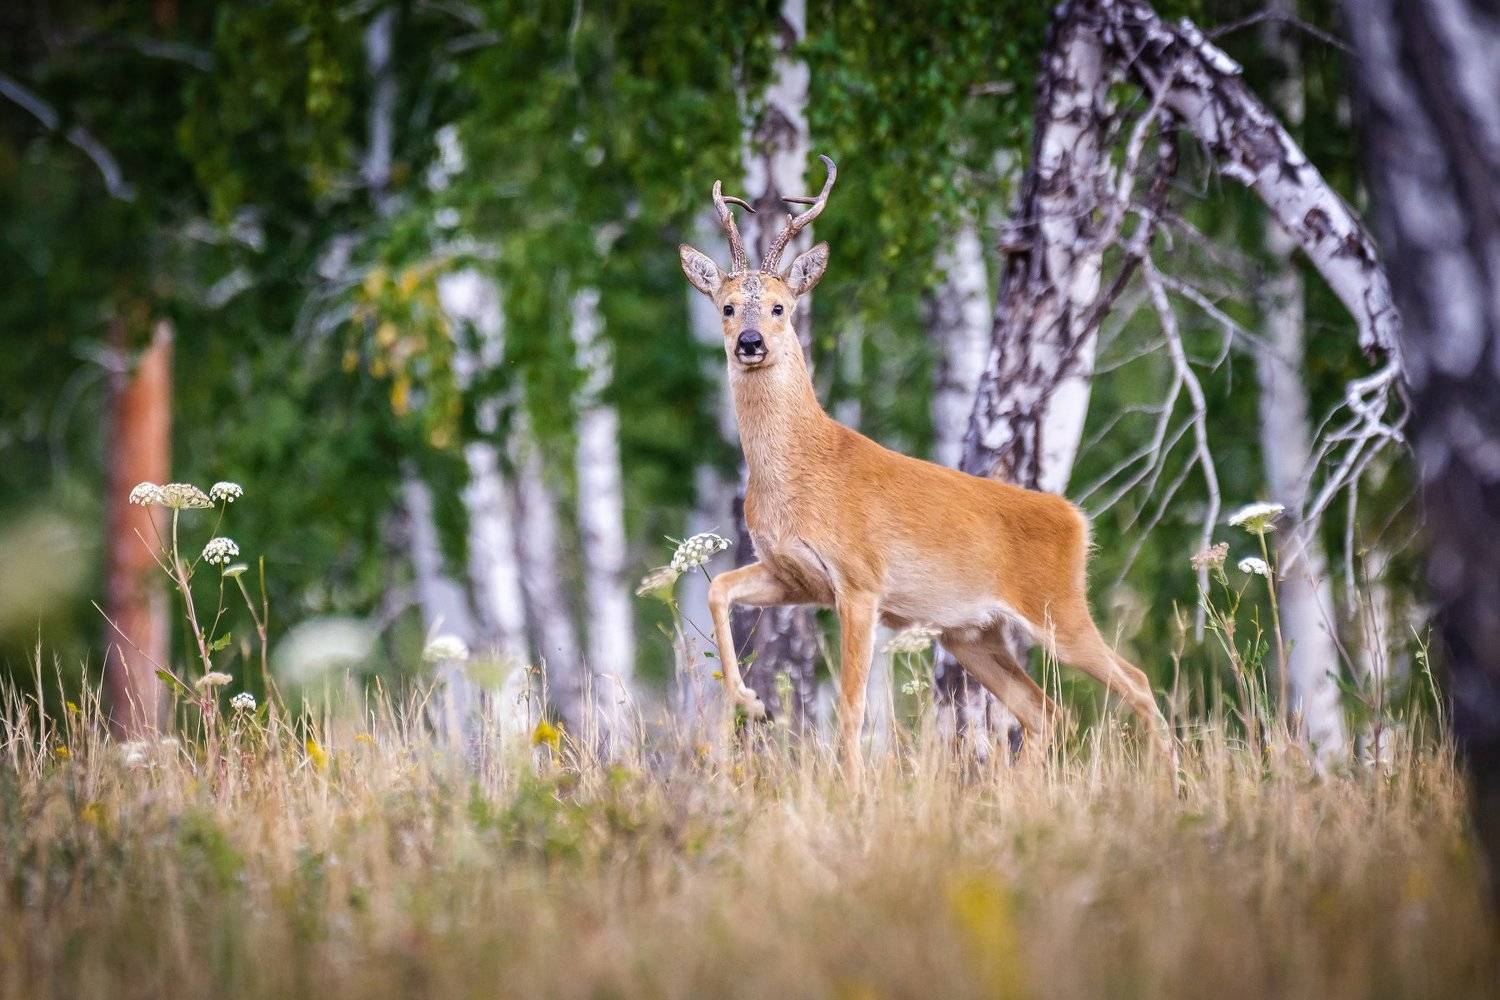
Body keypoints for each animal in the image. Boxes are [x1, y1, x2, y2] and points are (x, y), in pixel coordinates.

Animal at [679, 154, 1175, 773]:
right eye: (725, 307)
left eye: (780, 307)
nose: (749, 341)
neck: (801, 468)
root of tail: (1077, 519)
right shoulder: (794, 575)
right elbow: (718, 589)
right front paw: (748, 698)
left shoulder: (861, 579)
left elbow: (851, 707)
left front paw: (852, 785)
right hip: (971, 633)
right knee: (1045, 711)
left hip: (1057, 606)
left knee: (1135, 682)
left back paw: (1172, 779)